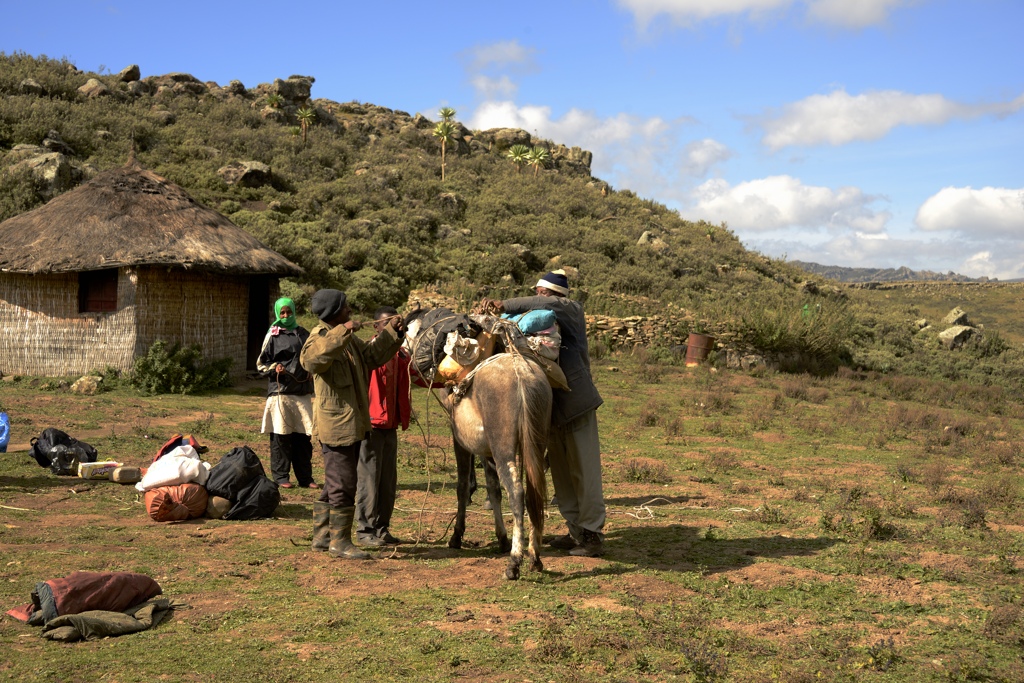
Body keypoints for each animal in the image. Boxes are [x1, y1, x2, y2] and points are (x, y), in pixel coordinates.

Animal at [405, 311, 557, 581]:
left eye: (409, 330)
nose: (402, 350)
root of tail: (521, 374)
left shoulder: (461, 443)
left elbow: (463, 486)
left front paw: (456, 535)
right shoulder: (487, 453)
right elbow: (493, 489)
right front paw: (502, 538)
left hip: (504, 450)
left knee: (517, 493)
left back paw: (514, 562)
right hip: (534, 446)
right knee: (534, 492)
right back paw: (534, 557)